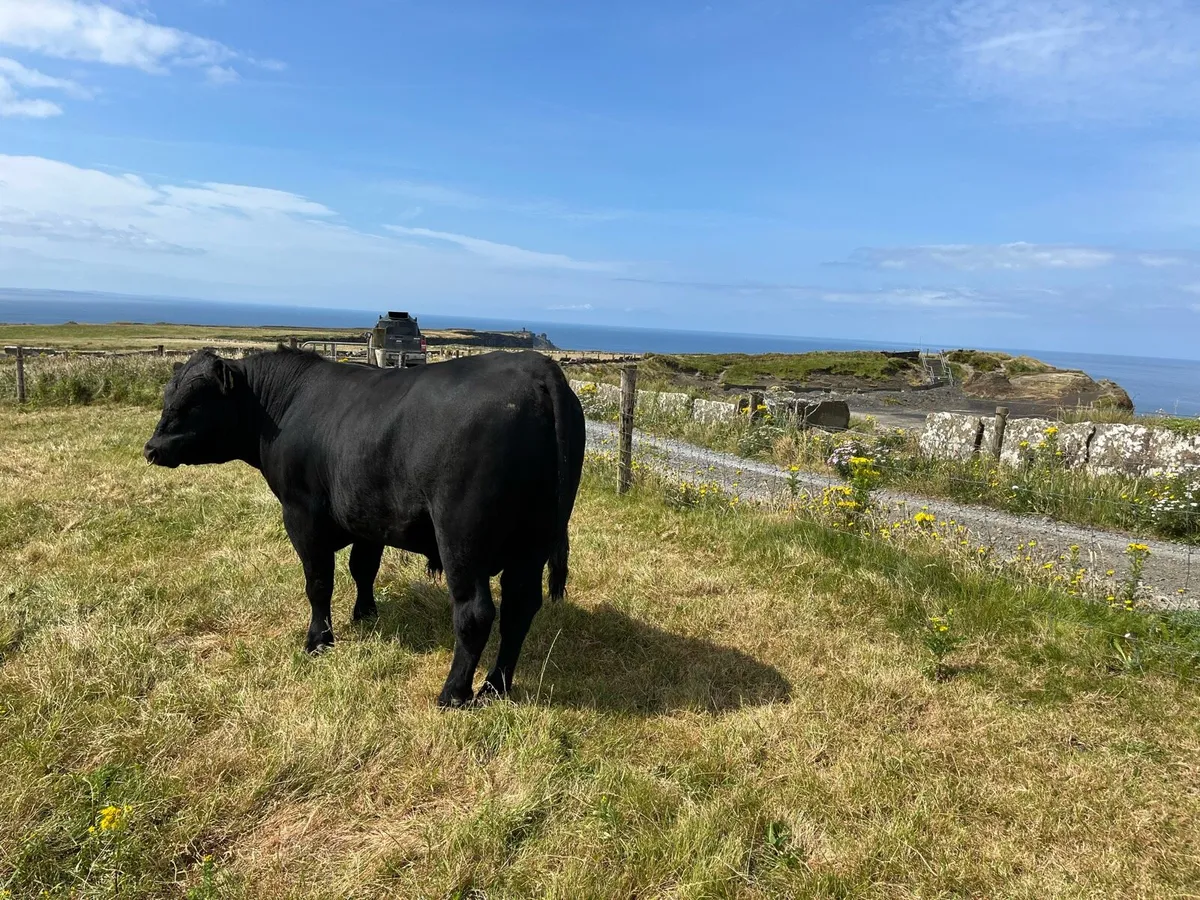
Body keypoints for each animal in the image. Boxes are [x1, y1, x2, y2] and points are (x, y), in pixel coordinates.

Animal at [143, 346, 586, 708]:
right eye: (168, 396)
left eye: (192, 402)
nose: (151, 449)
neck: (285, 407)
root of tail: (538, 368)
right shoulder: (369, 516)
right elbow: (363, 568)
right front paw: (365, 614)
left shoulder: (301, 514)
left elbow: (319, 582)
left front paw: (318, 640)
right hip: (533, 541)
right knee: (519, 609)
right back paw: (496, 688)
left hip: (462, 539)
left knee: (475, 613)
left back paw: (453, 694)